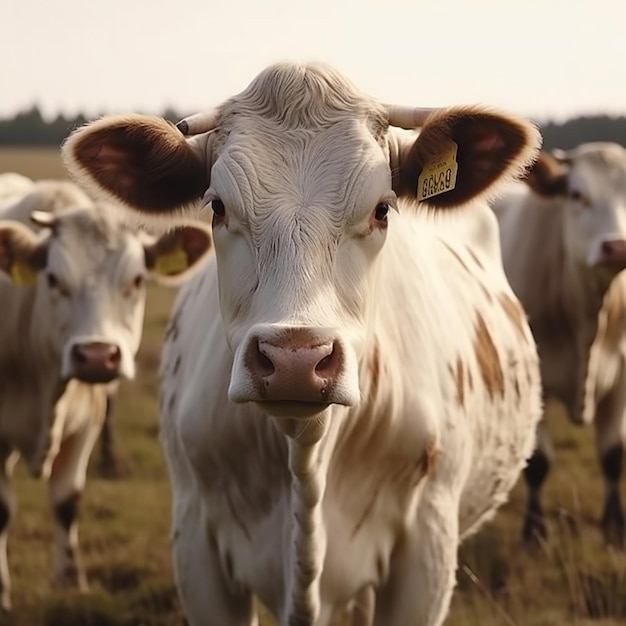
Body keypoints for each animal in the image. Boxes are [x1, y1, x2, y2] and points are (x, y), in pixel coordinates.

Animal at [0, 177, 212, 608]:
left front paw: (71, 582)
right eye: (52, 279)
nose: (97, 356)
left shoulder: (88, 424)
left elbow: (66, 501)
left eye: (136, 280)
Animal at [490, 143, 626, 544]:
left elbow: (613, 455)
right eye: (577, 195)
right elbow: (538, 463)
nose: (617, 248)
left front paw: (614, 526)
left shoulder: (620, 375)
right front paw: (534, 532)